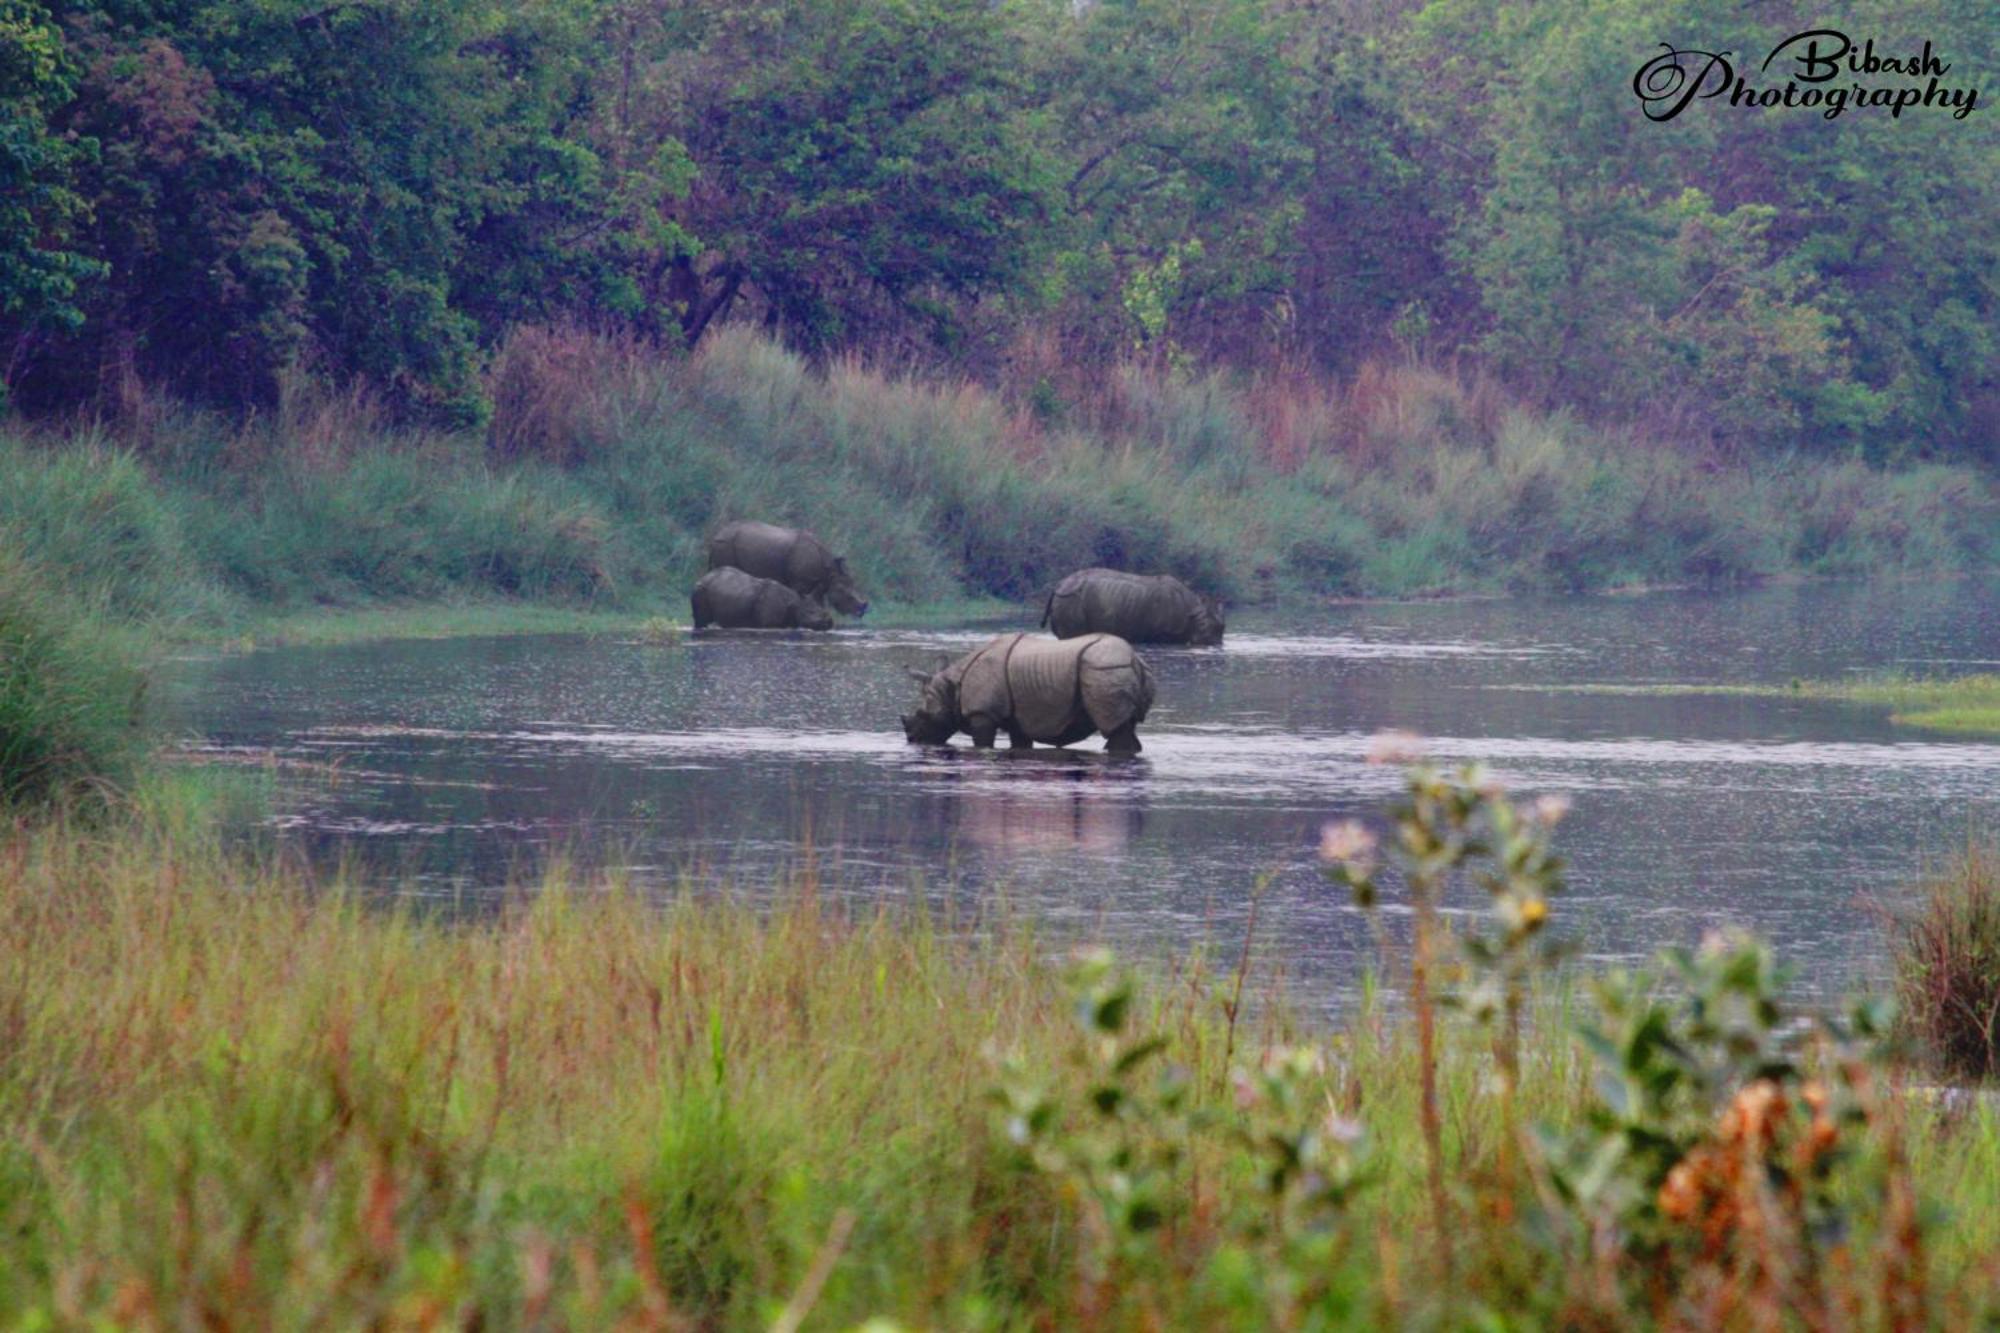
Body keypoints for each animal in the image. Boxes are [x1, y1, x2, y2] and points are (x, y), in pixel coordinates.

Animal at [696, 564, 836, 628]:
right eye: (810, 612)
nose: (829, 622)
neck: (794, 602)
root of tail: (704, 577)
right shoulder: (768, 624)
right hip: (700, 589)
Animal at [704, 524, 868, 616]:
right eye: (842, 591)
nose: (861, 610)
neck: (830, 572)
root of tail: (714, 537)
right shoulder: (800, 583)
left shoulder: (818, 584)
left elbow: (819, 604)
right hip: (726, 544)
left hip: (726, 543)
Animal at [908, 632, 1160, 752]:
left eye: (925, 717)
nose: (912, 739)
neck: (952, 685)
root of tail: (1135, 659)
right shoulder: (1021, 718)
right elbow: (1020, 742)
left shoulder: (982, 713)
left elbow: (983, 742)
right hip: (1116, 669)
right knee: (1127, 726)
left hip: (1104, 669)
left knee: (1115, 729)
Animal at [1048, 564, 1216, 644]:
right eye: (1205, 628)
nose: (1214, 644)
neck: (1192, 611)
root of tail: (1059, 585)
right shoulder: (1163, 633)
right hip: (1070, 598)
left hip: (1068, 598)